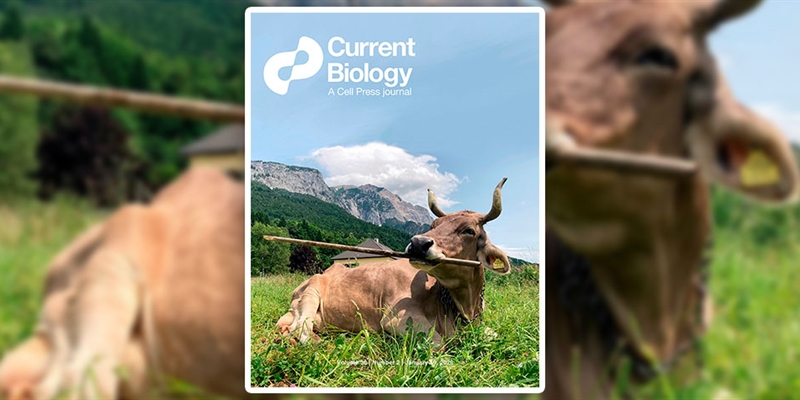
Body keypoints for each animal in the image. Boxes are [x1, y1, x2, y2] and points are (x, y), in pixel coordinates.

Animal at [276, 178, 511, 345]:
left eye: (469, 231)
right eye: (433, 224)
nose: (418, 243)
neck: (463, 307)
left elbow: (496, 335)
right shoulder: (398, 319)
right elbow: (438, 343)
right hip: (311, 293)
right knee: (301, 329)